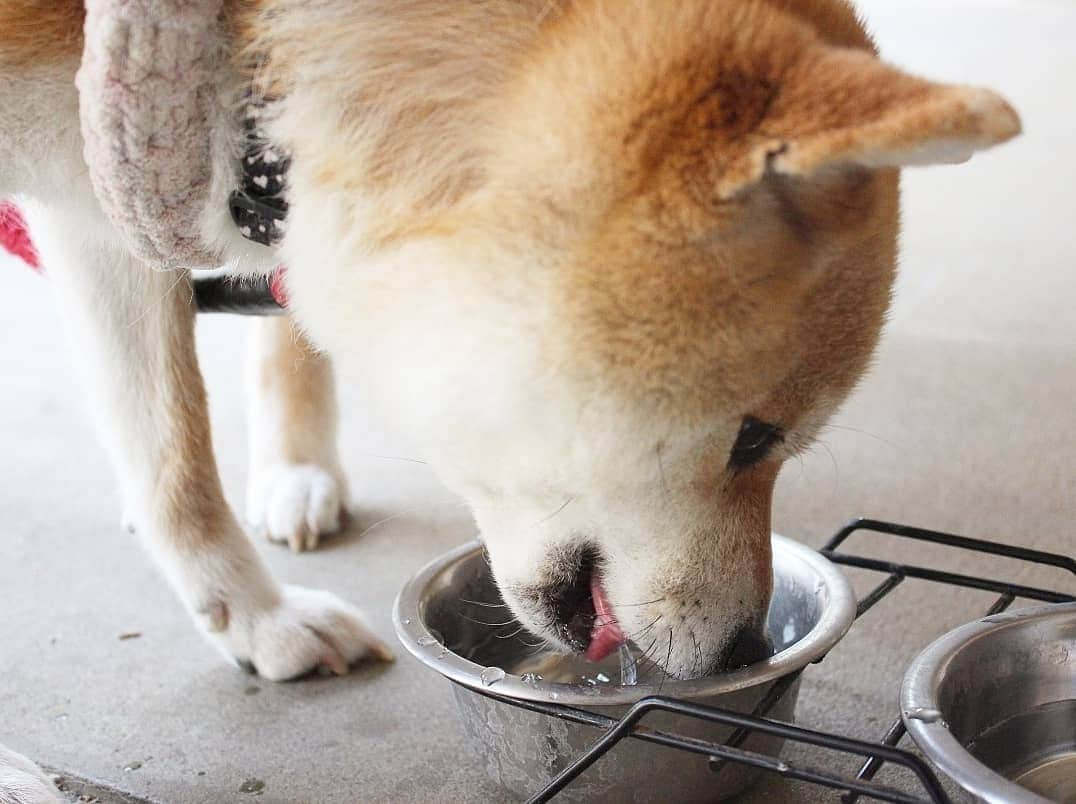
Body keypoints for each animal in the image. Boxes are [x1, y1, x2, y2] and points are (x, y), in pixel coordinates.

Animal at [0, 0, 1015, 792]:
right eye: (756, 438)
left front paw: (252, 616)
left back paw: (296, 465)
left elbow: (169, 448)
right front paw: (258, 619)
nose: (745, 654)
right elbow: (174, 458)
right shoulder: (91, 204)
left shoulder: (102, 196)